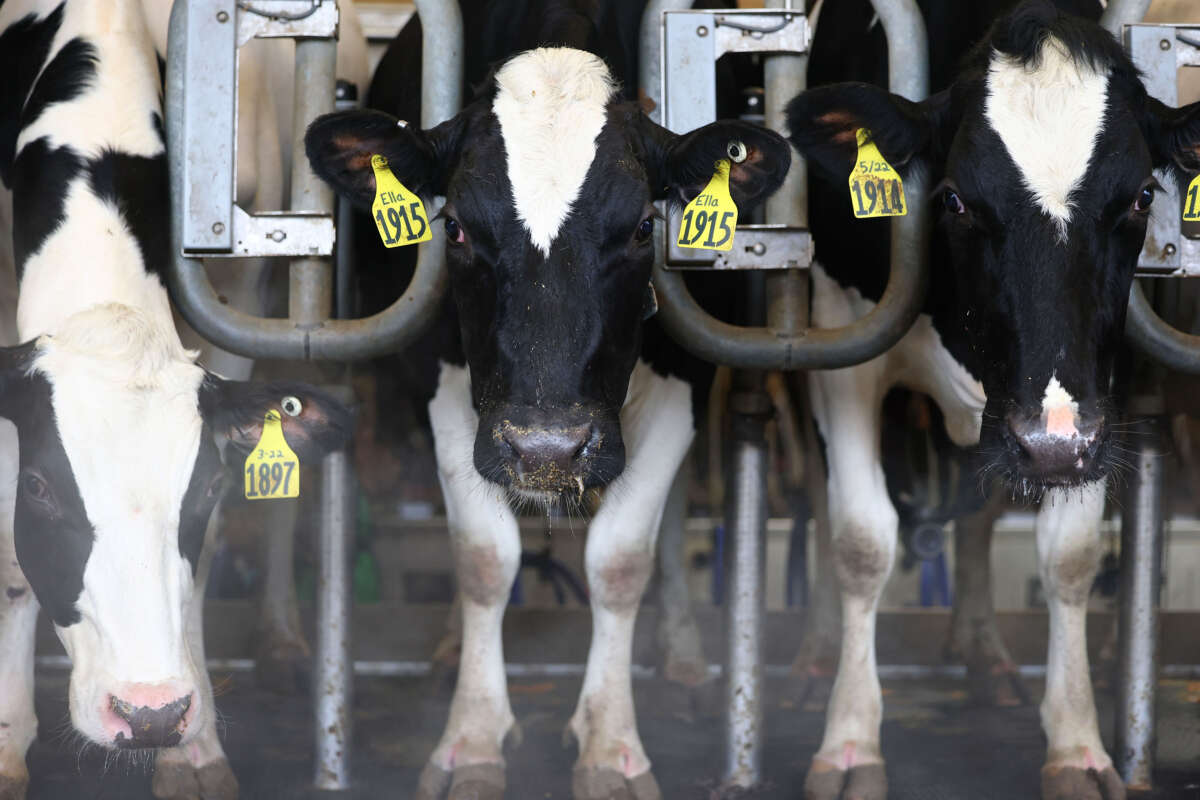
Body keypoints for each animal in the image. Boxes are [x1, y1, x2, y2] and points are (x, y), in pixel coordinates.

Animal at [0, 3, 352, 796]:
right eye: (39, 487)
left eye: (209, 484)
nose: (152, 713)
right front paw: (6, 744)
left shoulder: (237, 299)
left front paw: (195, 754)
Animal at [302, 3, 787, 796]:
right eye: (455, 226)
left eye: (644, 227)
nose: (547, 449)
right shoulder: (443, 379)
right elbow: (482, 559)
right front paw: (471, 742)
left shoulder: (682, 377)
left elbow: (620, 562)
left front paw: (611, 749)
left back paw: (684, 655)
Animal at [787, 1, 1200, 800]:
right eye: (952, 198)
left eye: (1142, 196)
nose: (1048, 443)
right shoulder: (839, 328)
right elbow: (861, 540)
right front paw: (849, 744)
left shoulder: (1090, 407)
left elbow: (1069, 556)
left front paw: (1077, 747)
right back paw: (816, 651)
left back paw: (982, 651)